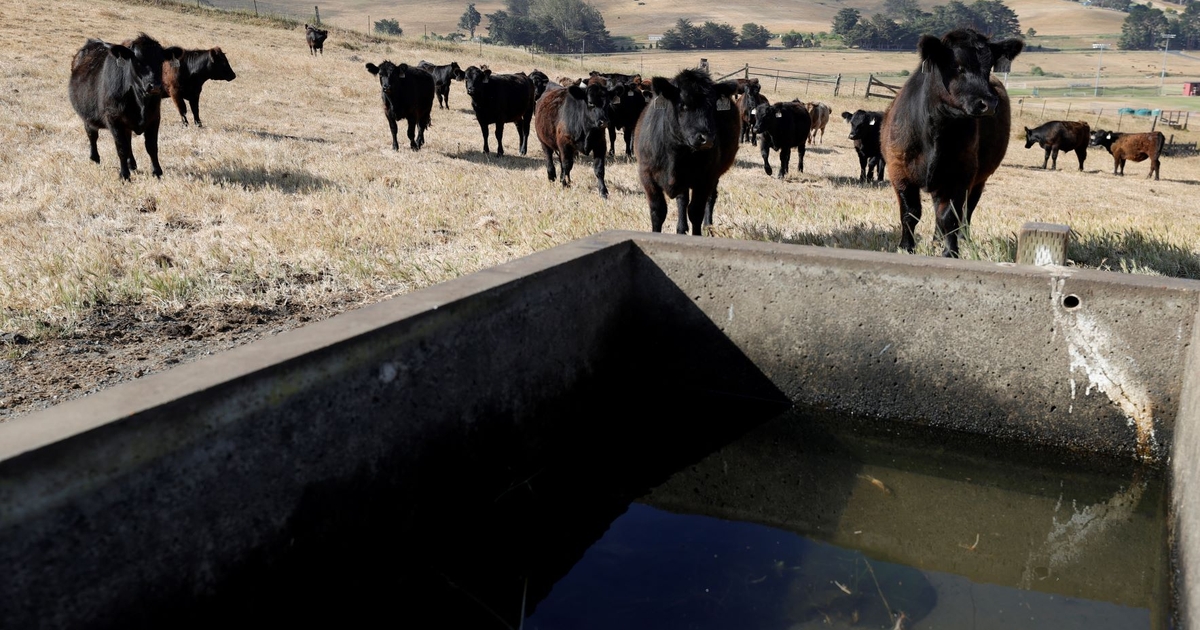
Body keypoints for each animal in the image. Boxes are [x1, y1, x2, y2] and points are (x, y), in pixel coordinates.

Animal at [68, 33, 182, 178]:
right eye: (137, 61)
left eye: (161, 61)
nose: (155, 86)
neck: (140, 102)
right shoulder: (113, 119)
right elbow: (121, 147)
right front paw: (124, 175)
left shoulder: (154, 117)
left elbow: (151, 146)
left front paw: (157, 172)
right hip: (87, 116)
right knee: (92, 135)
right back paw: (95, 158)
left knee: (129, 140)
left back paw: (131, 163)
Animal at [638, 68, 739, 234]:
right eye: (683, 105)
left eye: (713, 107)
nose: (707, 138)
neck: (676, 153)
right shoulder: (647, 175)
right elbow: (658, 211)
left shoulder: (705, 178)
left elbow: (696, 211)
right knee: (682, 200)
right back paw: (681, 228)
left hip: (715, 175)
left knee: (711, 197)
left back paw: (708, 225)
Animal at [883, 28, 1022, 256]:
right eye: (957, 66)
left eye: (988, 67)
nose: (988, 103)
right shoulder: (899, 170)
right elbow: (910, 213)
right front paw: (906, 247)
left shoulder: (961, 175)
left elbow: (950, 216)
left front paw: (951, 252)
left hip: (978, 179)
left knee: (966, 211)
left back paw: (959, 240)